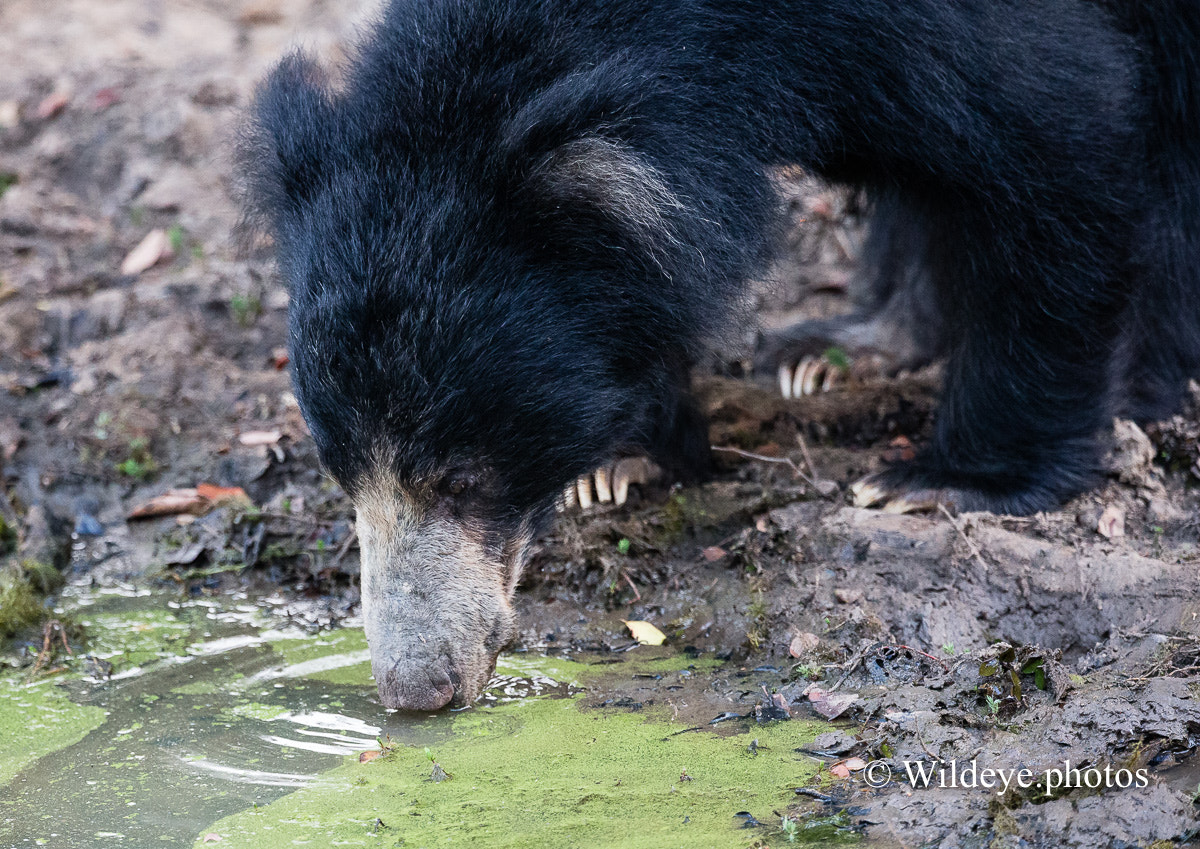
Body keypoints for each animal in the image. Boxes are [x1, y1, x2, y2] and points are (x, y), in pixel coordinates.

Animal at [246, 1, 1200, 709]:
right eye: (342, 477)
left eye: (460, 478)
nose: (415, 689)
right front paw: (619, 465)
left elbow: (1058, 124)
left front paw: (947, 481)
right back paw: (842, 350)